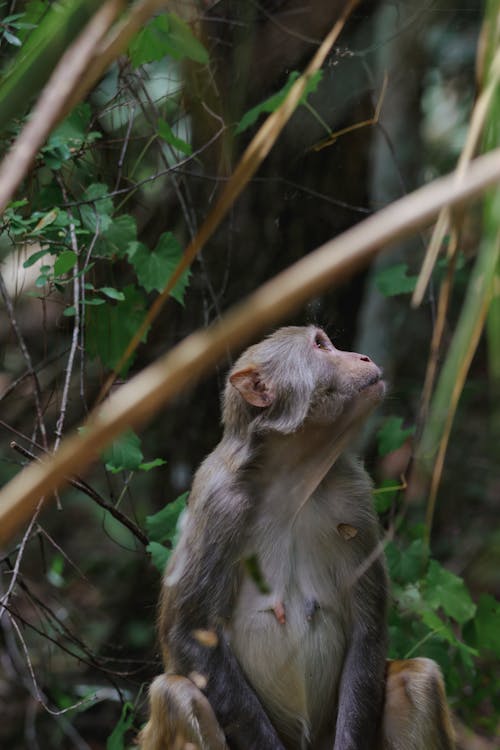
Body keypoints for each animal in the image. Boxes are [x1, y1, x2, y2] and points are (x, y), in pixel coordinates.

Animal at [139, 324, 456, 750]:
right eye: (321, 346)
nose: (362, 357)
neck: (291, 480)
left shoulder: (354, 495)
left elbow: (367, 628)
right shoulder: (217, 507)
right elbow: (190, 634)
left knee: (416, 677)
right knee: (178, 693)